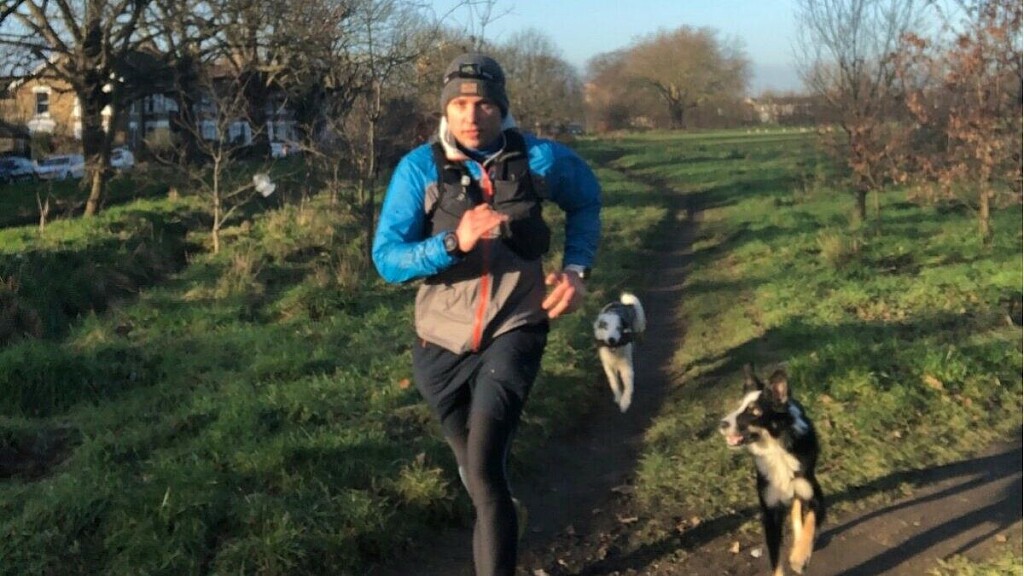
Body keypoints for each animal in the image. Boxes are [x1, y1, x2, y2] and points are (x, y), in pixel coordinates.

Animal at [719, 364, 825, 575]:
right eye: (739, 406)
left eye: (755, 411)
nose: (722, 424)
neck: (777, 449)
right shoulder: (769, 512)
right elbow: (775, 559)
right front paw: (795, 557)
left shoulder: (815, 496)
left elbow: (809, 522)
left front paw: (799, 557)